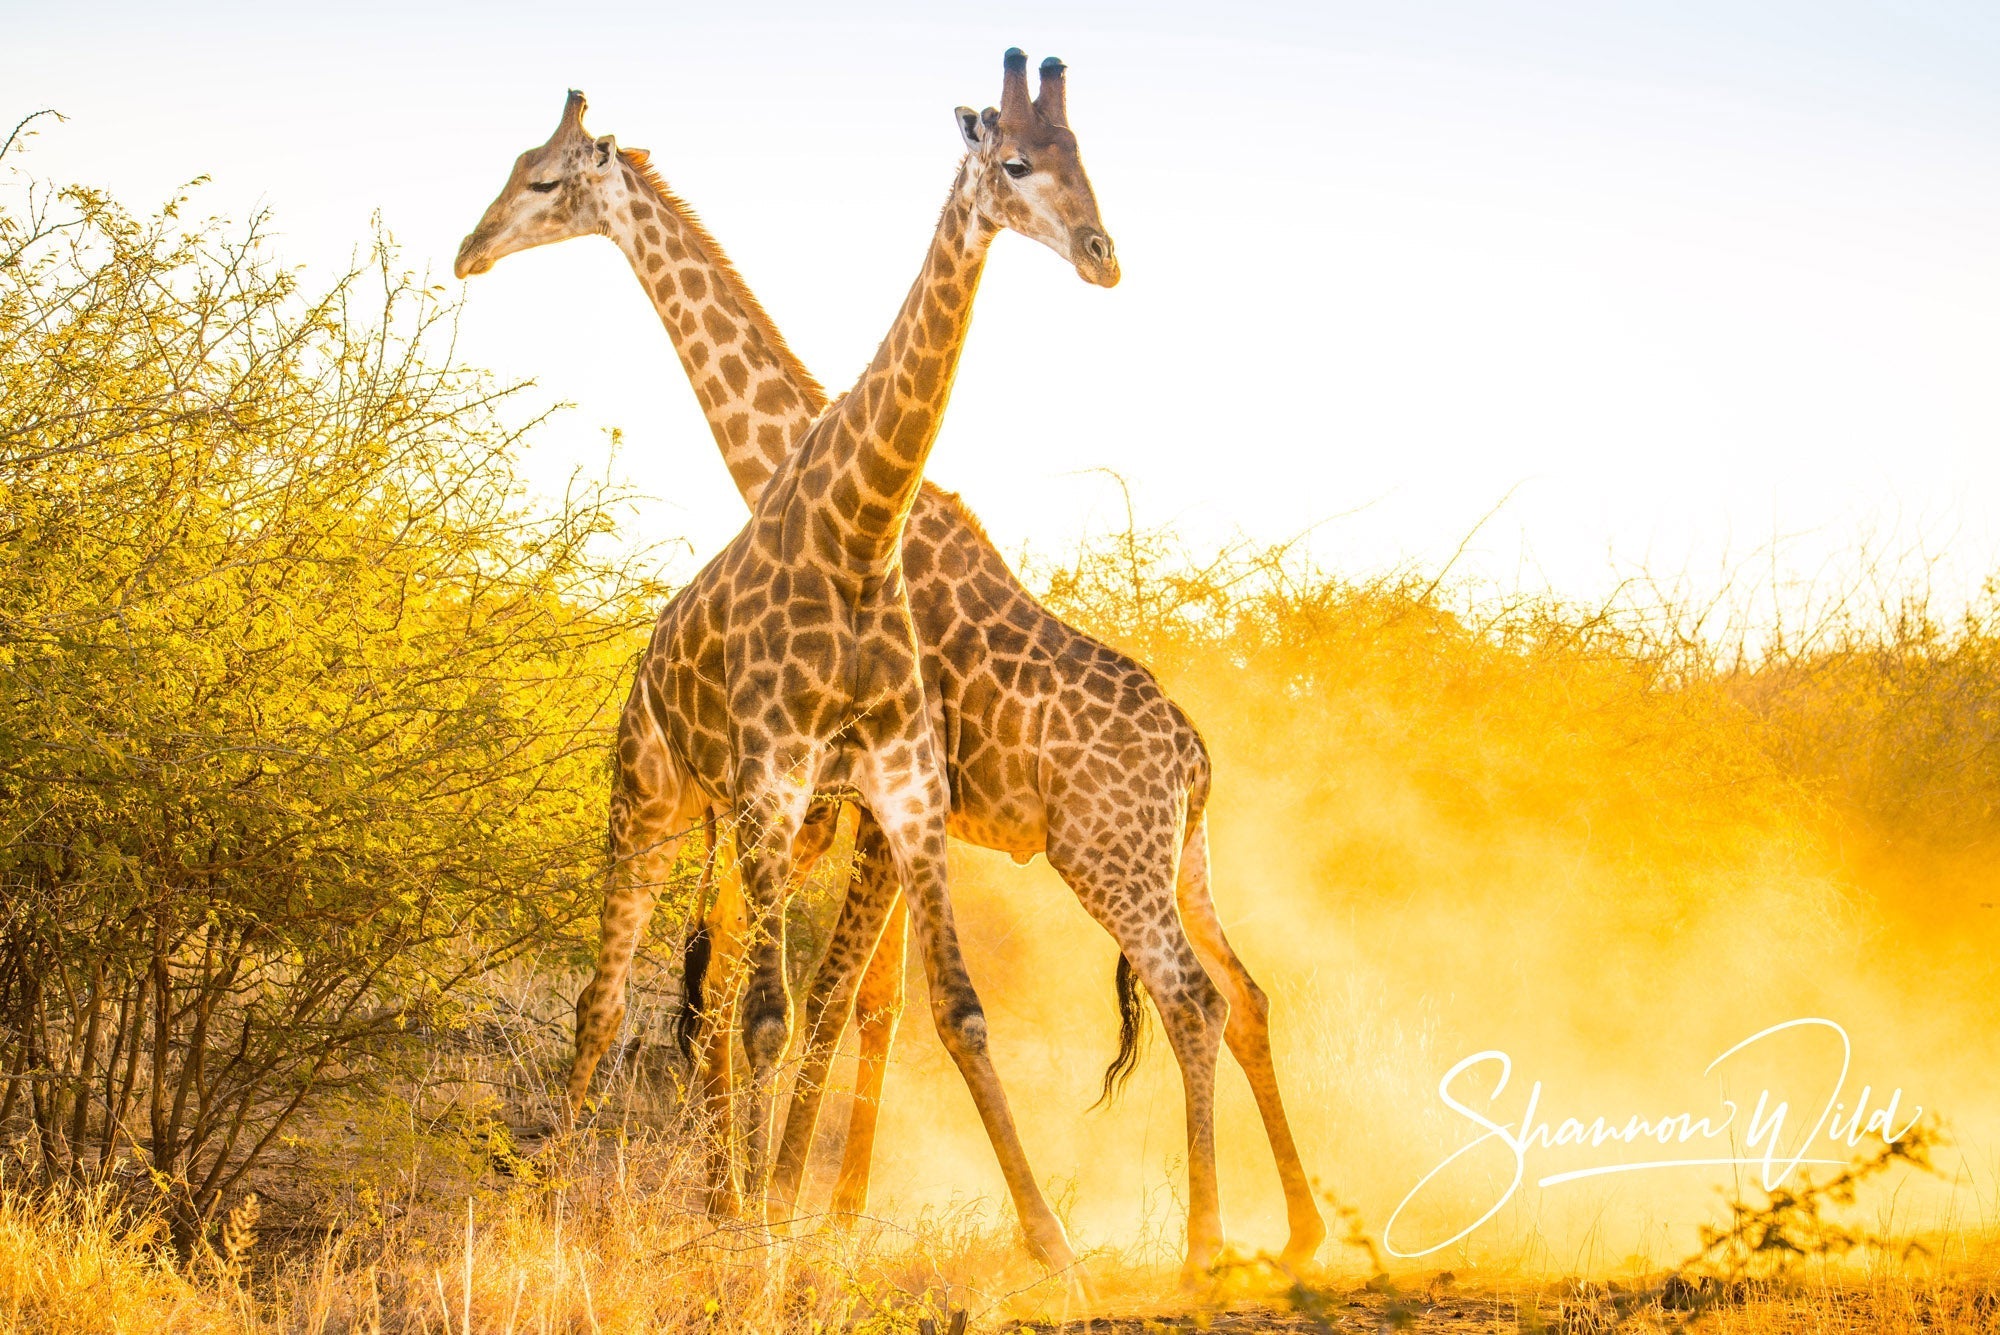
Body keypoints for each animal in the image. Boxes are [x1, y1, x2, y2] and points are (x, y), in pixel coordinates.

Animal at [454, 56, 1326, 1274]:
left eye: (540, 181)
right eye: (1023, 160)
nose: (470, 247)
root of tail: (1197, 757)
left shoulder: (885, 797)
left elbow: (840, 998)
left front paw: (799, 1202)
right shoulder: (859, 803)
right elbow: (858, 999)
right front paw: (815, 1206)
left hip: (1108, 856)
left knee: (1191, 996)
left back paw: (1209, 1241)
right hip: (1182, 859)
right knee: (1244, 995)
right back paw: (1295, 1231)